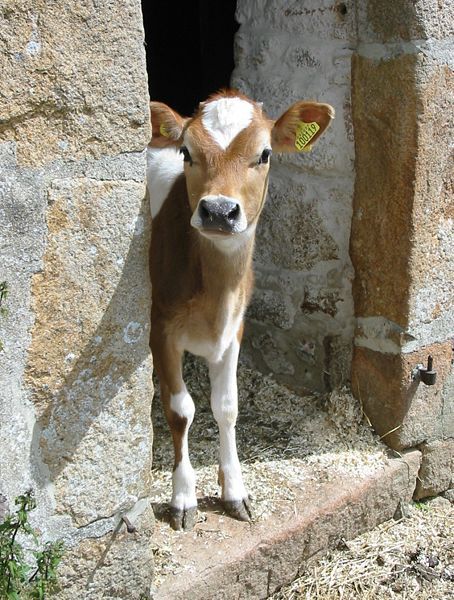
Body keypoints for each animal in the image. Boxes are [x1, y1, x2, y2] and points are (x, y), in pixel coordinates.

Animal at [148, 90, 334, 528]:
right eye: (186, 151)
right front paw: (183, 497)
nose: (218, 210)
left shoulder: (234, 329)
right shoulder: (160, 328)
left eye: (264, 154)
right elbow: (180, 410)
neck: (216, 296)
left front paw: (234, 489)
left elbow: (227, 407)